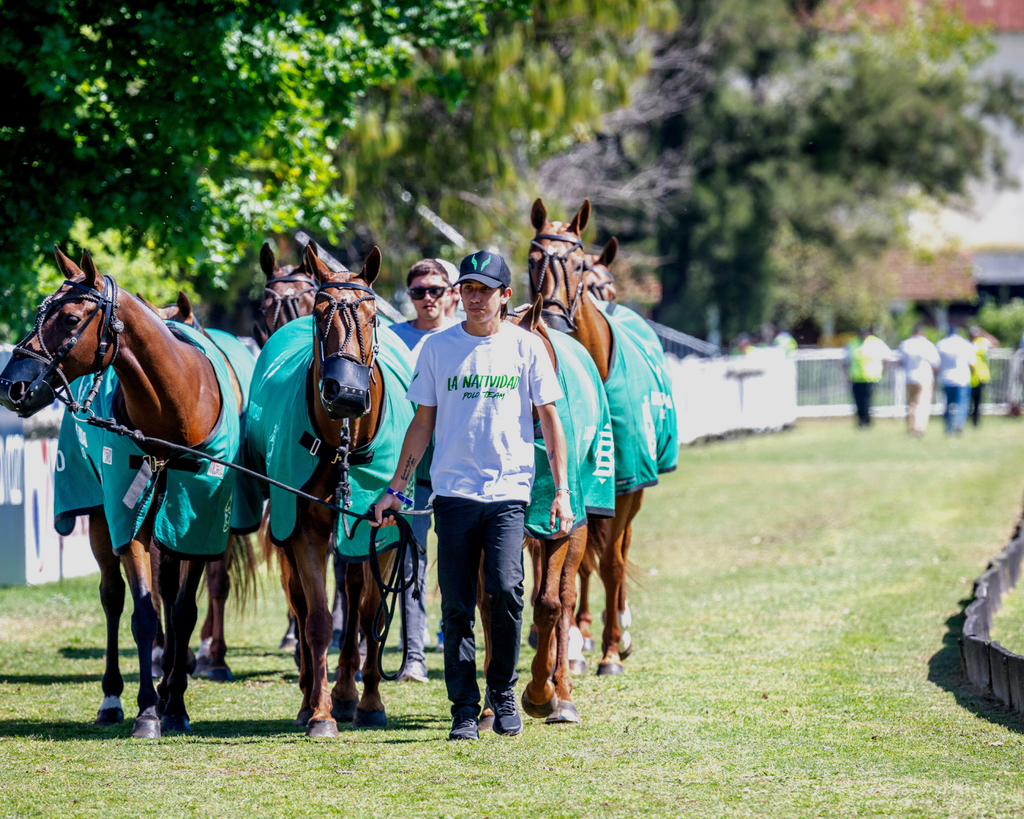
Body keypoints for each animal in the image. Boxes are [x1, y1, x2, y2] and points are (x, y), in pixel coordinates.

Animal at [0, 247, 253, 738]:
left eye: (71, 317)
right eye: (40, 310)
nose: (10, 386)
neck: (174, 411)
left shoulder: (196, 522)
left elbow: (181, 611)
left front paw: (175, 703)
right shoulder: (128, 519)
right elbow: (143, 612)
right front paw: (148, 710)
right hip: (100, 517)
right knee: (113, 597)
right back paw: (113, 698)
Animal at [246, 243, 413, 736]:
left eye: (372, 316)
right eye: (320, 316)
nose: (347, 394)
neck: (343, 443)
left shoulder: (384, 533)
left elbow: (369, 611)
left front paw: (369, 700)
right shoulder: (302, 529)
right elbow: (318, 618)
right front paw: (319, 712)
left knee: (355, 596)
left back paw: (347, 689)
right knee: (303, 604)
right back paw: (314, 695)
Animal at [528, 198, 677, 676]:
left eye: (577, 263)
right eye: (532, 259)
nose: (552, 319)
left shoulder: (625, 484)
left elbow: (611, 563)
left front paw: (612, 650)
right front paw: (572, 643)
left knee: (617, 553)